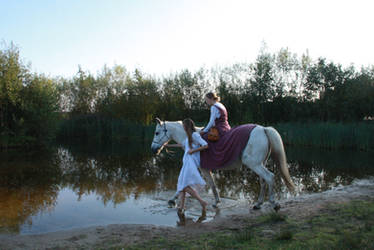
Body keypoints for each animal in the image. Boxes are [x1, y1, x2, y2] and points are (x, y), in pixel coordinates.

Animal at [150, 118, 296, 210]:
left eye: (157, 132)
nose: (153, 149)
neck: (190, 137)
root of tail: (264, 129)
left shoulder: (202, 169)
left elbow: (191, 184)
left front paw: (172, 199)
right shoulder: (205, 169)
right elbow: (212, 185)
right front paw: (217, 202)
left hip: (255, 164)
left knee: (270, 177)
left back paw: (273, 203)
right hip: (260, 164)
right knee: (263, 181)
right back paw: (258, 204)